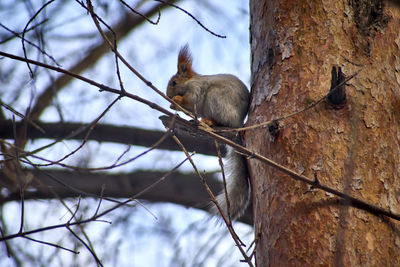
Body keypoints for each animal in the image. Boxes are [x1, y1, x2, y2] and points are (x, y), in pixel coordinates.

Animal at [166, 44, 250, 220]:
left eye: (174, 82)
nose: (167, 95)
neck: (190, 81)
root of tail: (238, 123)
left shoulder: (196, 89)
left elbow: (190, 100)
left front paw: (176, 100)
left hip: (216, 98)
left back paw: (209, 121)